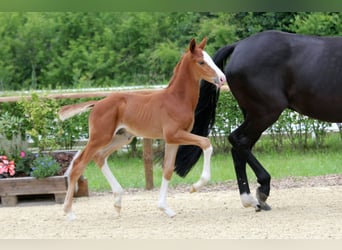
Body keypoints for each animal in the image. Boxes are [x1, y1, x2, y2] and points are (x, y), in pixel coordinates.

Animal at [59, 38, 226, 220]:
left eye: (210, 59)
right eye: (201, 62)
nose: (222, 79)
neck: (177, 99)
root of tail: (96, 104)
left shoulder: (173, 140)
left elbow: (168, 170)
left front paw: (165, 208)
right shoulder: (174, 134)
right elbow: (206, 143)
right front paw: (196, 186)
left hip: (122, 137)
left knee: (100, 157)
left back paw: (118, 202)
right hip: (100, 137)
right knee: (79, 165)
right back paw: (69, 212)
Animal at [175, 30, 340, 212]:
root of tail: (239, 45)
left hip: (255, 115)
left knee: (240, 147)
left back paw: (251, 199)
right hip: (265, 112)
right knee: (238, 141)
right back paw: (261, 190)